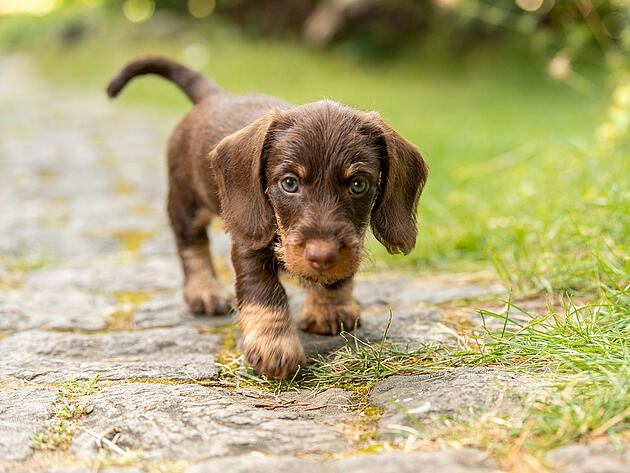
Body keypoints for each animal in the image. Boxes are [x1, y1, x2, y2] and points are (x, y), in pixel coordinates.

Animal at [108, 57, 430, 378]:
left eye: (358, 184)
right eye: (289, 183)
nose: (322, 255)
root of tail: (214, 97)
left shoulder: (351, 242)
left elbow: (339, 275)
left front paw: (330, 308)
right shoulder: (249, 245)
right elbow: (264, 292)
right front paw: (274, 345)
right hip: (186, 202)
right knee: (191, 245)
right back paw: (204, 291)